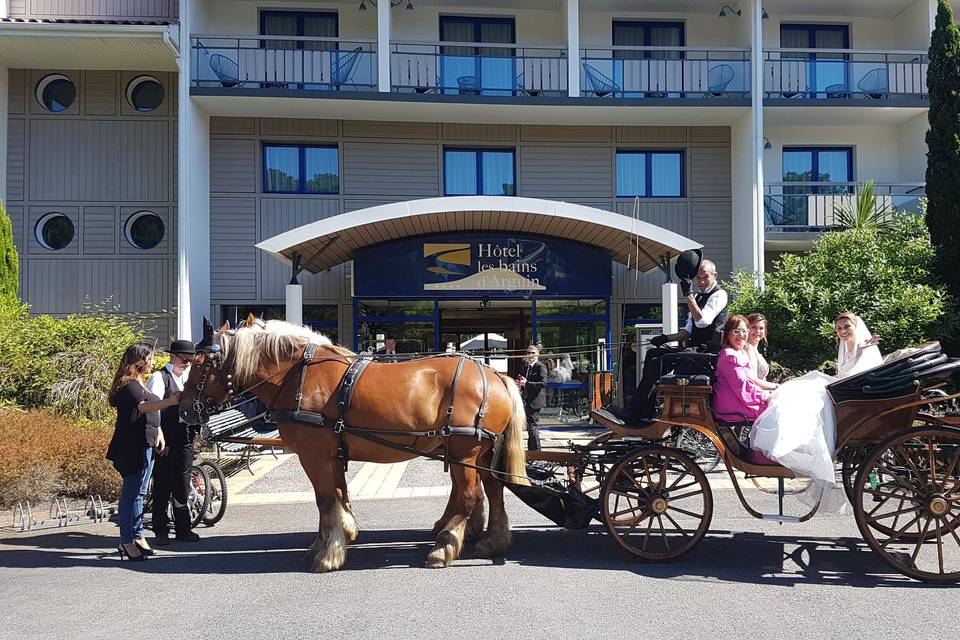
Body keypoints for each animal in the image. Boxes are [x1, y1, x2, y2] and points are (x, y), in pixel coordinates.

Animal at [178, 322, 524, 572]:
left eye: (201, 364)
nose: (184, 410)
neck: (298, 375)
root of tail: (496, 375)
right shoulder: (333, 454)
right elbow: (338, 496)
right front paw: (338, 537)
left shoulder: (314, 455)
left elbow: (325, 499)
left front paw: (329, 553)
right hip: (480, 453)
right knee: (493, 489)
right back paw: (492, 541)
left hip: (465, 451)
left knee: (470, 495)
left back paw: (444, 547)